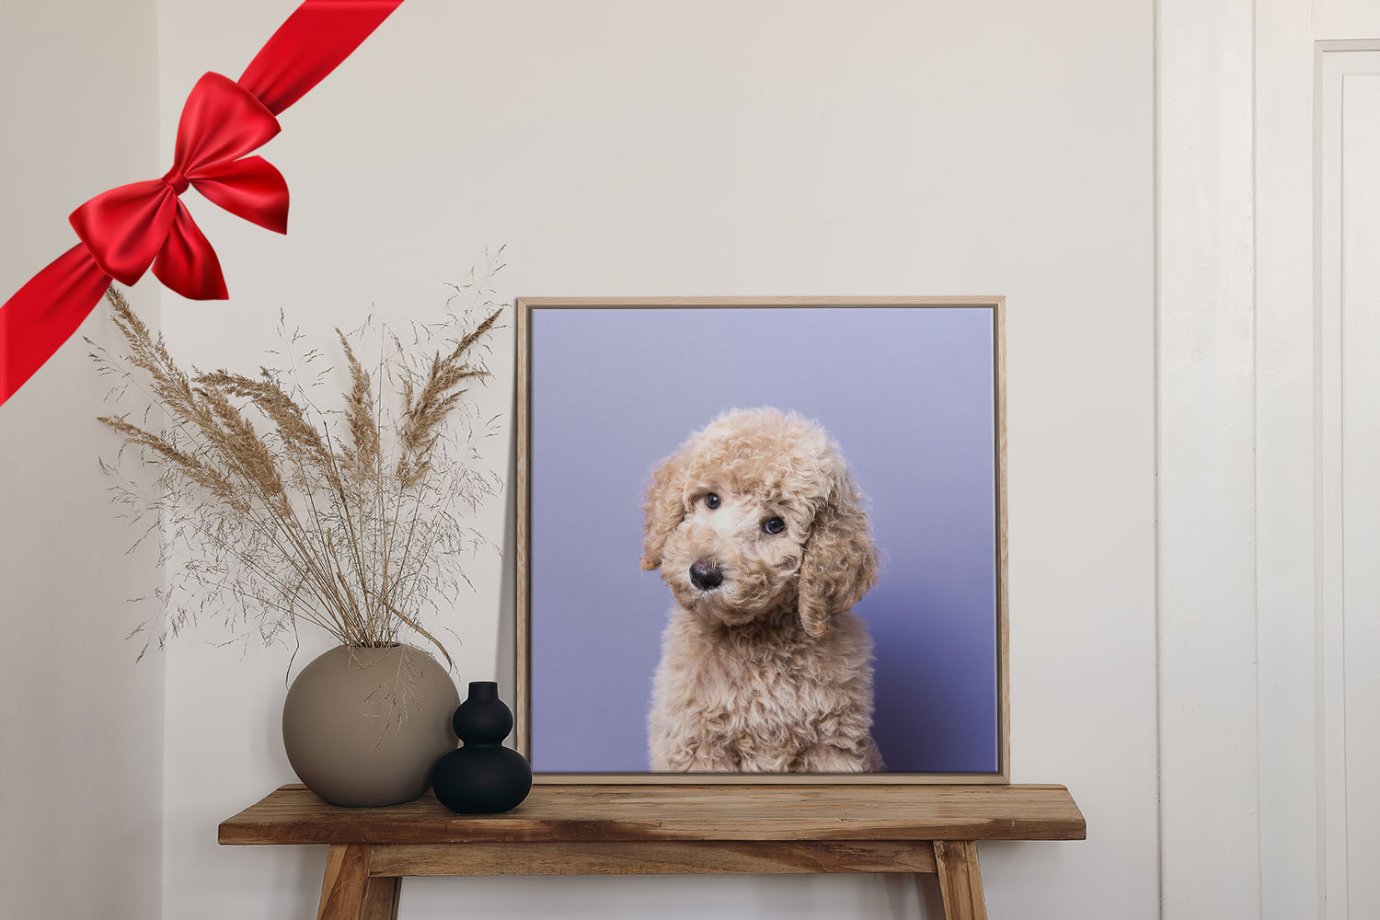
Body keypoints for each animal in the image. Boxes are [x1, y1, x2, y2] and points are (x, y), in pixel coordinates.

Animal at [643, 405, 883, 772]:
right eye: (712, 500)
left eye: (774, 525)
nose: (703, 574)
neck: (756, 639)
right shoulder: (696, 745)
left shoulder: (832, 745)